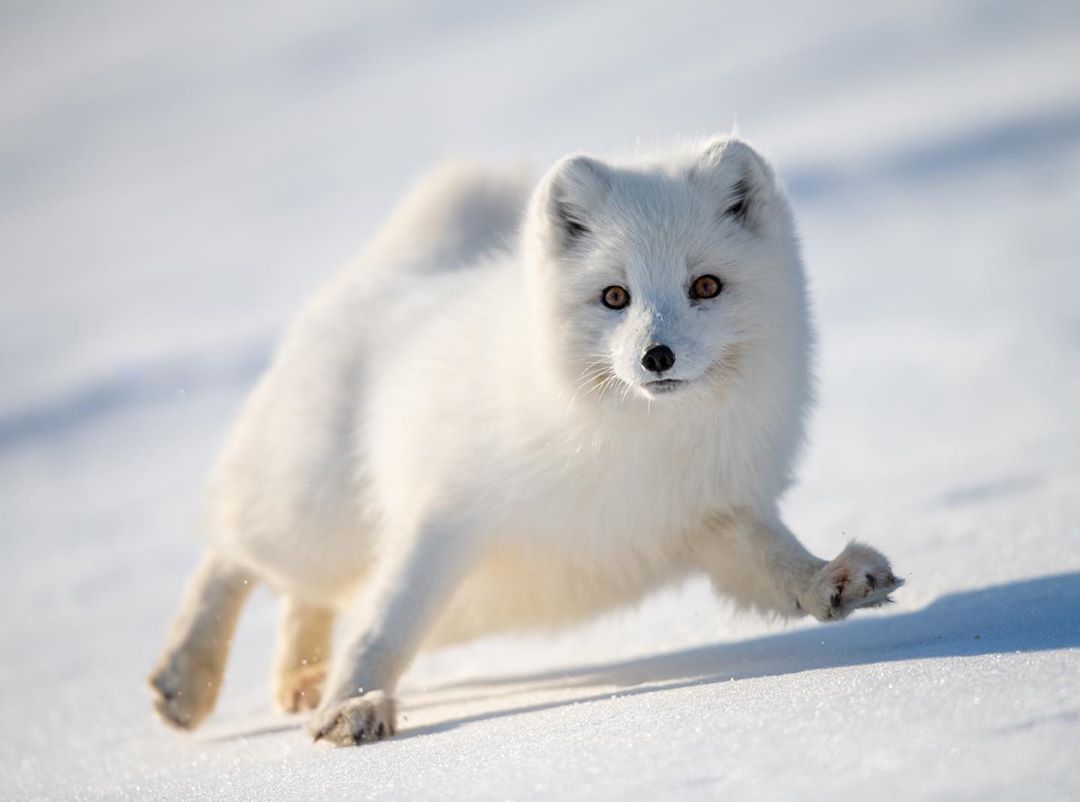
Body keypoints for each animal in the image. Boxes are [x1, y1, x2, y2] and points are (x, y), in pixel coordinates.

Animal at [149, 136, 902, 746]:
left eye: (707, 285)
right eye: (615, 297)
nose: (656, 356)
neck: (629, 439)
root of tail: (394, 273)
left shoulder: (715, 518)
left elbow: (778, 568)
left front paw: (835, 581)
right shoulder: (445, 516)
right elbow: (384, 625)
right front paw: (355, 706)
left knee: (303, 595)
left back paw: (298, 677)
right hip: (312, 522)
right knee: (230, 554)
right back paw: (186, 683)